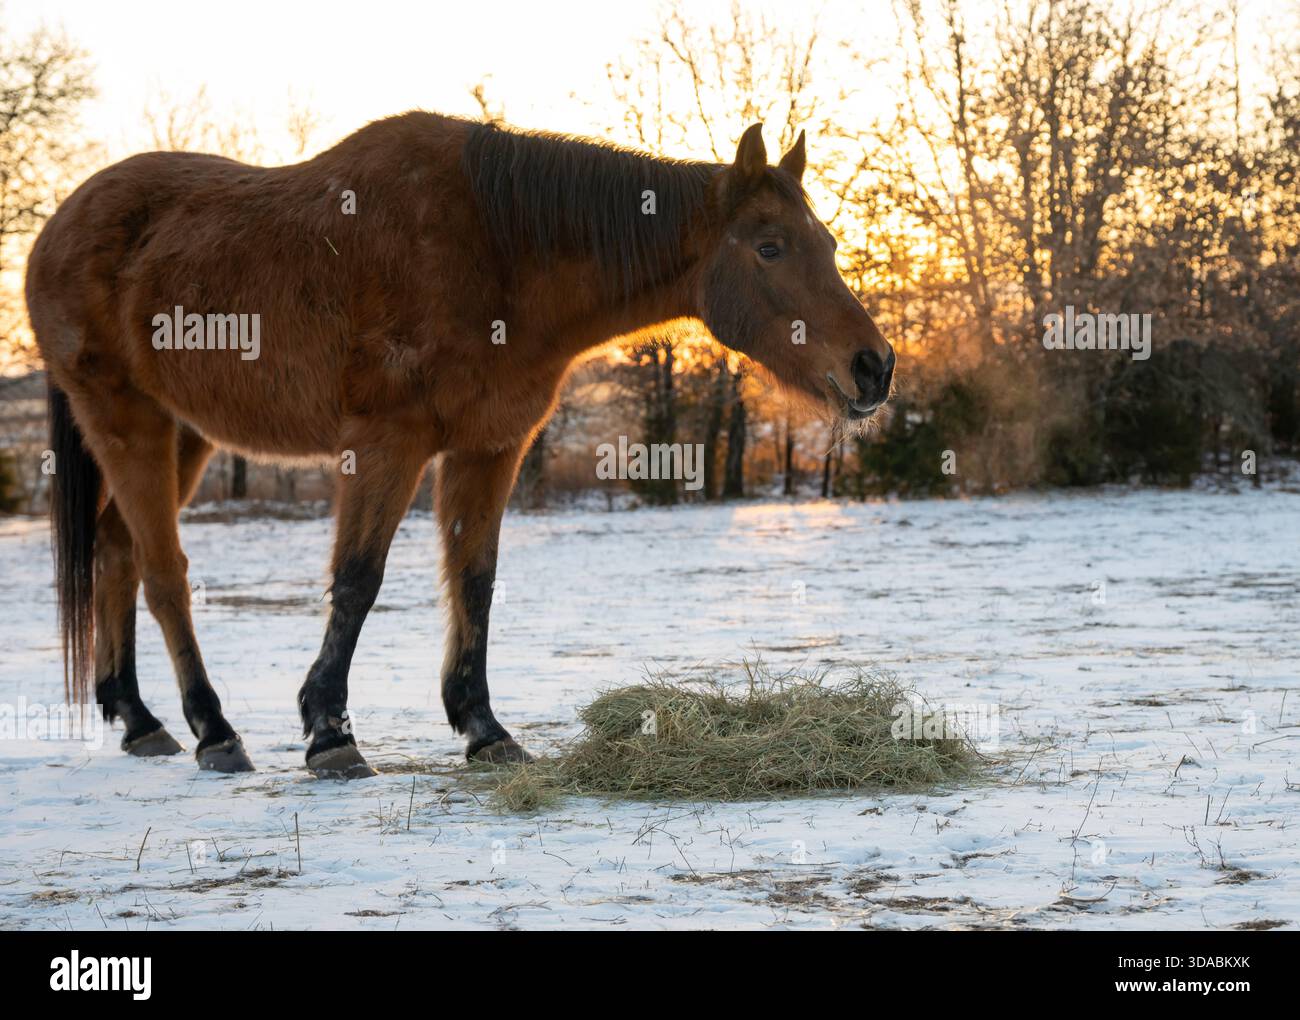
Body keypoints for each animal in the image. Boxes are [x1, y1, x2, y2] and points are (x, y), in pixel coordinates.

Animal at [26, 111, 896, 778]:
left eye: (825, 243)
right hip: (127, 422)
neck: (498, 247)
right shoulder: (387, 443)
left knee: (117, 551)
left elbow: (474, 580)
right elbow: (358, 580)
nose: (873, 366)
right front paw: (329, 734)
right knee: (164, 573)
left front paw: (483, 728)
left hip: (182, 434)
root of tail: (57, 229)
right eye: (769, 246)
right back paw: (213, 730)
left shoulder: (489, 447)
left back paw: (138, 718)